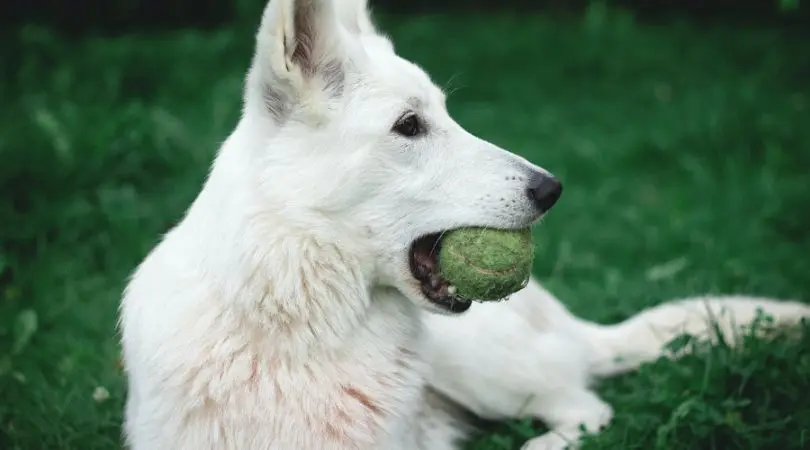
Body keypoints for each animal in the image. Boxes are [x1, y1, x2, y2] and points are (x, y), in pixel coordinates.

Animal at [118, 0, 808, 450]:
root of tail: (568, 322)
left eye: (445, 115)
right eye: (409, 126)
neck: (298, 333)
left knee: (587, 406)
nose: (552, 189)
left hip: (477, 362)